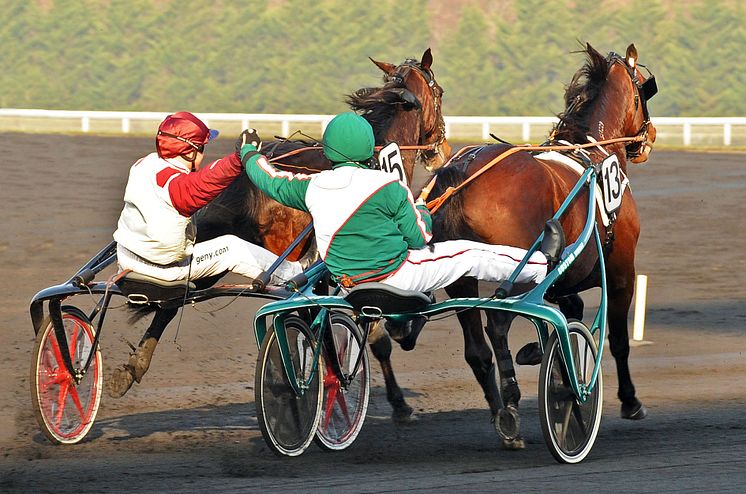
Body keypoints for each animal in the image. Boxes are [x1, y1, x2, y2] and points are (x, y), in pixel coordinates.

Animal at [119, 48, 450, 422]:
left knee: (174, 298)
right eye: (439, 93)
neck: (377, 153)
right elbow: (375, 333)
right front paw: (397, 400)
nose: (441, 150)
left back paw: (134, 365)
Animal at [424, 44, 656, 450]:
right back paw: (511, 404)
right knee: (498, 323)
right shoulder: (620, 271)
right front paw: (628, 400)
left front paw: (551, 362)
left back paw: (502, 415)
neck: (594, 157)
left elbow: (569, 312)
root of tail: (463, 173)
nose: (651, 135)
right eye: (643, 89)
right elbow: (617, 339)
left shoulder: (564, 278)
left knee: (477, 348)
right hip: (518, 268)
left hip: (460, 277)